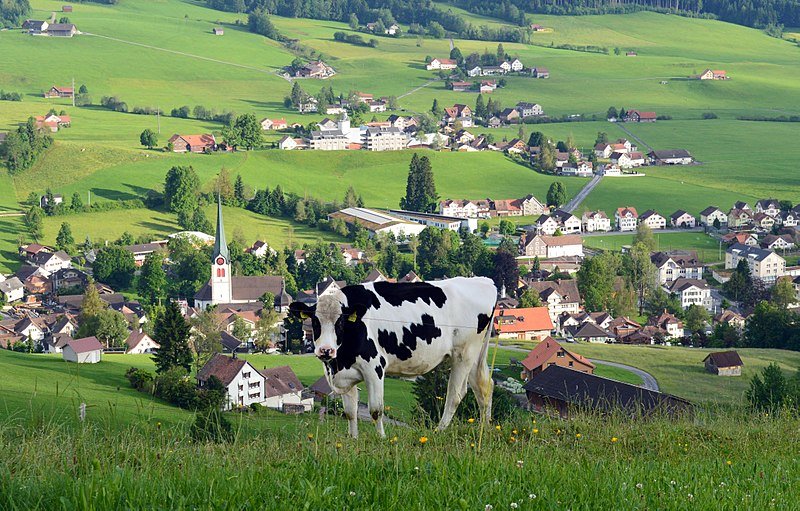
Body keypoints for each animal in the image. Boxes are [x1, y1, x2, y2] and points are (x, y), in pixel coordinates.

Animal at [290, 276, 497, 438]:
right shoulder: (345, 375)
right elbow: (350, 412)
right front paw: (353, 439)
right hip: (474, 355)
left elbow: (375, 409)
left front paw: (381, 438)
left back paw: (439, 431)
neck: (339, 362)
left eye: (340, 322)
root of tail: (484, 281)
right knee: (484, 387)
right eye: (315, 321)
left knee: (455, 394)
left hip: (463, 353)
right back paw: (484, 429)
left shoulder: (374, 368)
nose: (325, 350)